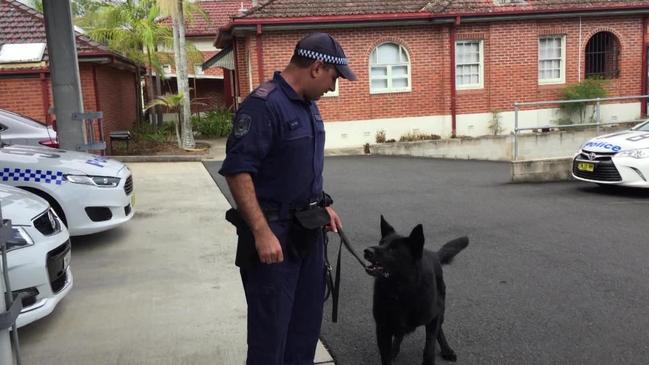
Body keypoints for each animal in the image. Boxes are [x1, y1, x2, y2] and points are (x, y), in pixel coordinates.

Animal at [364, 215, 466, 362]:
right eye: (381, 243)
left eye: (393, 249)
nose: (366, 251)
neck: (400, 290)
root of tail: (433, 254)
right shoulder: (383, 329)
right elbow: (386, 356)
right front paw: (391, 352)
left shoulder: (433, 318)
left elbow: (429, 349)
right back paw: (395, 349)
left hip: (440, 310)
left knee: (439, 330)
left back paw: (446, 349)